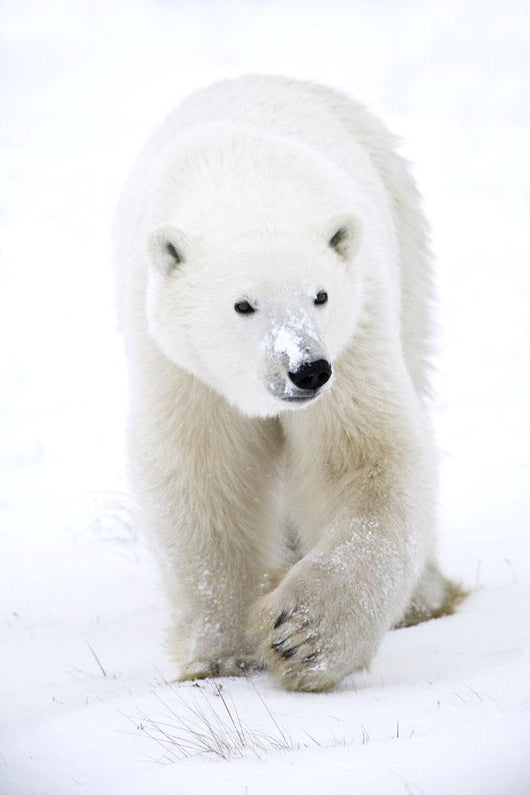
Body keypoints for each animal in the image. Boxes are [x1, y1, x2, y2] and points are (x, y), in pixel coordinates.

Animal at [114, 75, 464, 692]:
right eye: (243, 304)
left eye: (320, 294)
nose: (306, 369)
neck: (246, 186)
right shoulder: (182, 367)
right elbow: (204, 478)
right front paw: (222, 654)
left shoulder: (356, 333)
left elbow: (364, 459)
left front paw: (300, 636)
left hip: (406, 242)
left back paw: (423, 597)